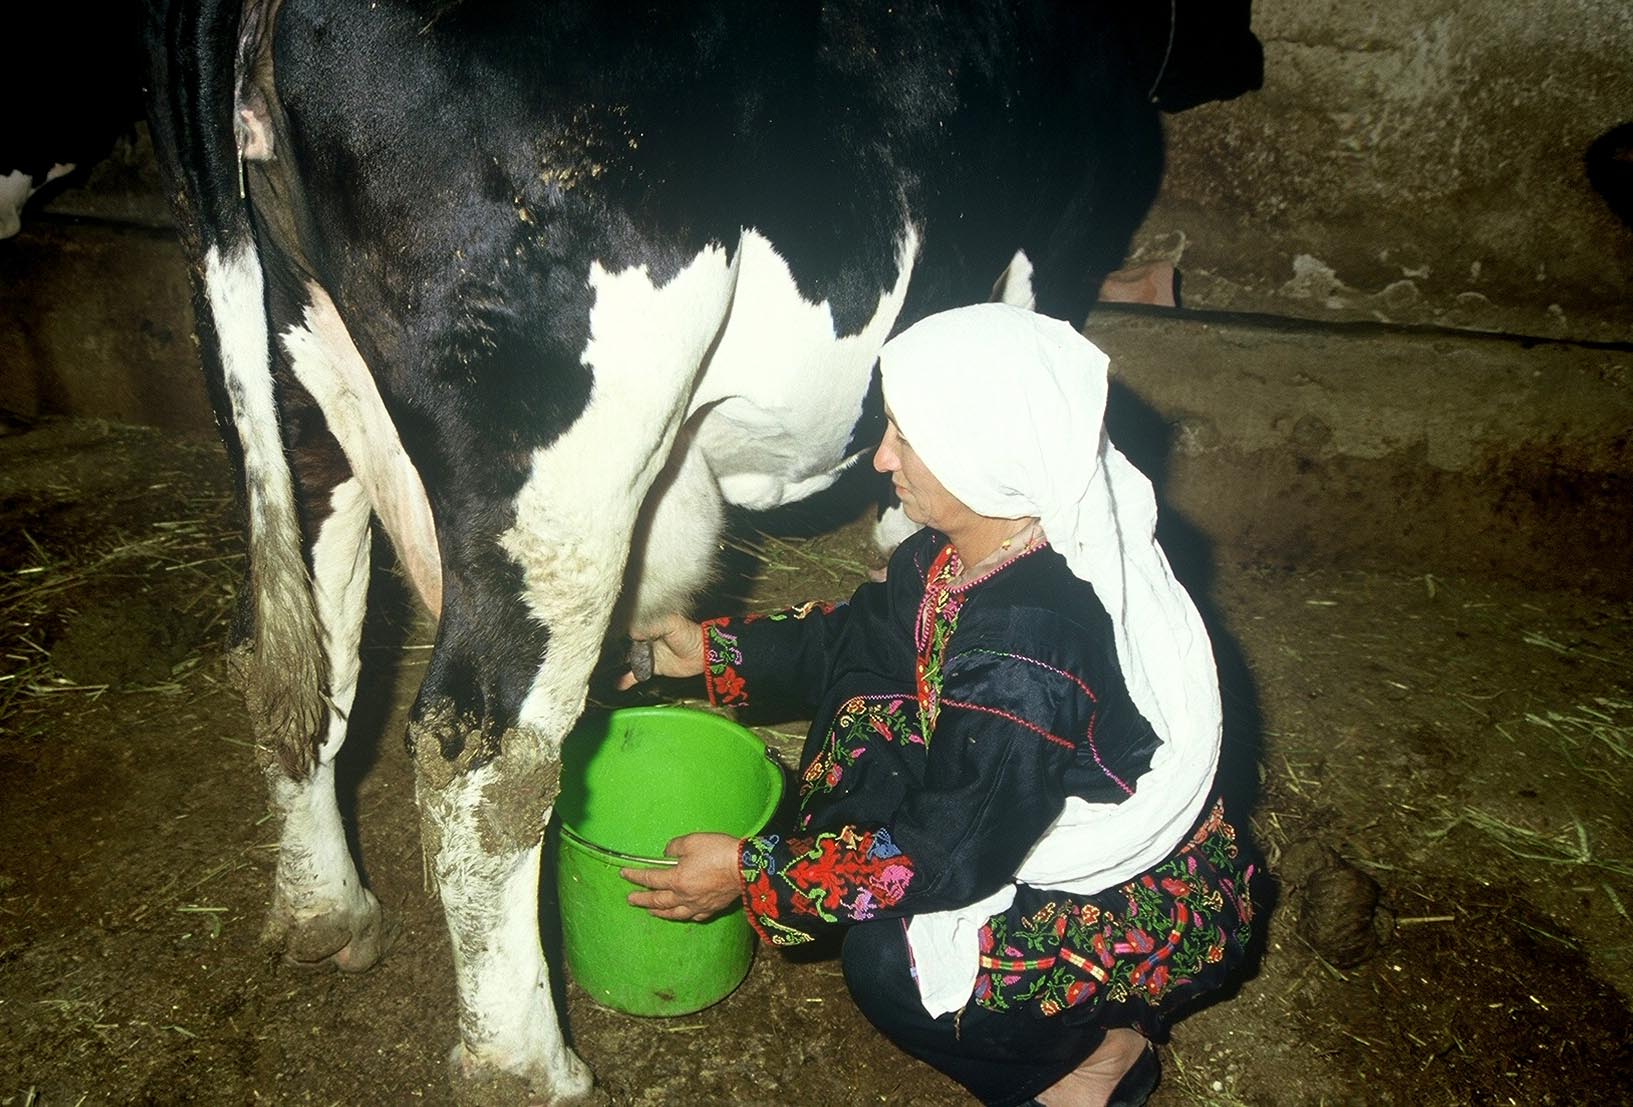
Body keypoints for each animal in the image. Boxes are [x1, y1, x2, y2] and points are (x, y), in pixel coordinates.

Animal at [140, 0, 1260, 1103]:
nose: (1248, 58)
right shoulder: (1048, 255)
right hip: (559, 474)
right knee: (487, 760)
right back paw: (531, 1068)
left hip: (290, 386)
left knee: (298, 655)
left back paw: (327, 914)